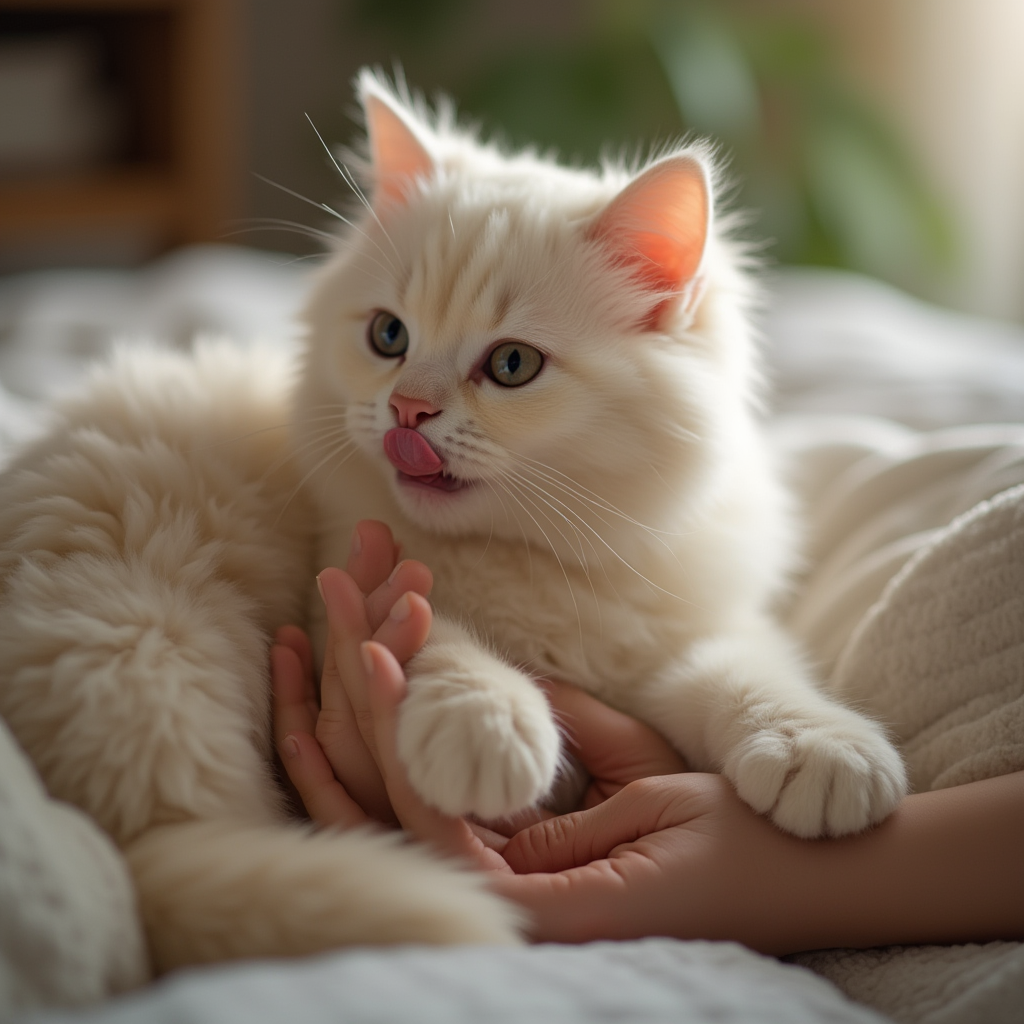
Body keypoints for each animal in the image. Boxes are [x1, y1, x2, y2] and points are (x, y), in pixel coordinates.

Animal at [0, 74, 909, 974]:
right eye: (388, 336)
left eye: (512, 365)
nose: (407, 410)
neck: (535, 552)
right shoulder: (349, 597)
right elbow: (436, 637)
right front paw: (489, 729)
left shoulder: (682, 630)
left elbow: (746, 673)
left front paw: (818, 751)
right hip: (152, 640)